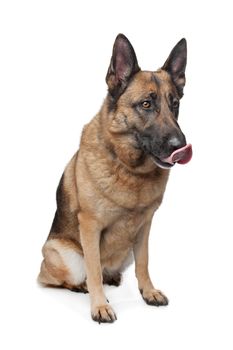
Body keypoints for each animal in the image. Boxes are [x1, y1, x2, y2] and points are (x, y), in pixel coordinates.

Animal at [37, 33, 191, 322]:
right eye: (146, 104)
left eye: (175, 104)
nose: (180, 146)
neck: (130, 168)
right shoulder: (90, 226)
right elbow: (94, 268)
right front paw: (99, 305)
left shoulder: (144, 227)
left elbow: (144, 263)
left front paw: (148, 292)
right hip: (64, 256)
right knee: (64, 278)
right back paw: (82, 286)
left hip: (125, 252)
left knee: (111, 270)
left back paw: (113, 278)